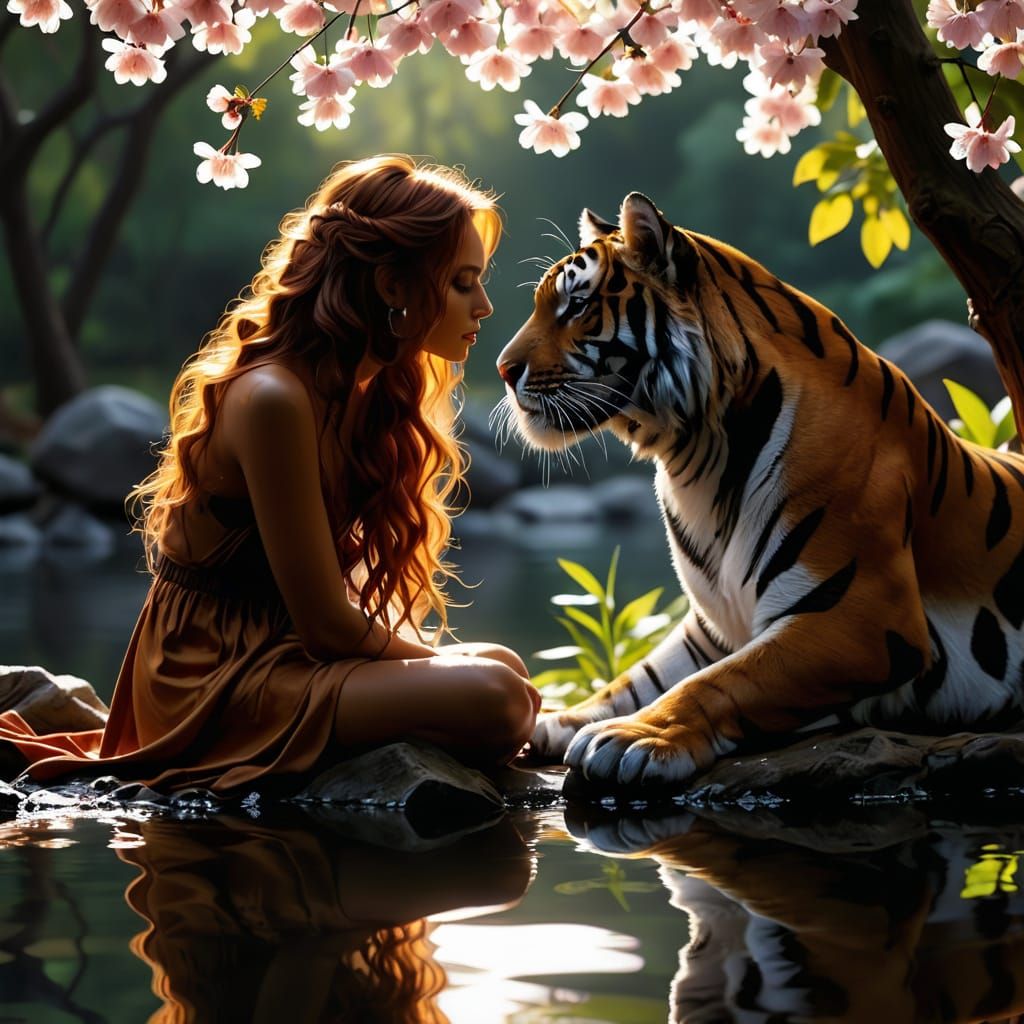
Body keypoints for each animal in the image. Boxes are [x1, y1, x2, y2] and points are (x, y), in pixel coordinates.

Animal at [496, 191, 1024, 787]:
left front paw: (632, 738)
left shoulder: (862, 615)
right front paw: (559, 718)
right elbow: (638, 677)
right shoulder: (711, 626)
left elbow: (723, 681)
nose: (503, 370)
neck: (695, 457)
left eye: (578, 305)